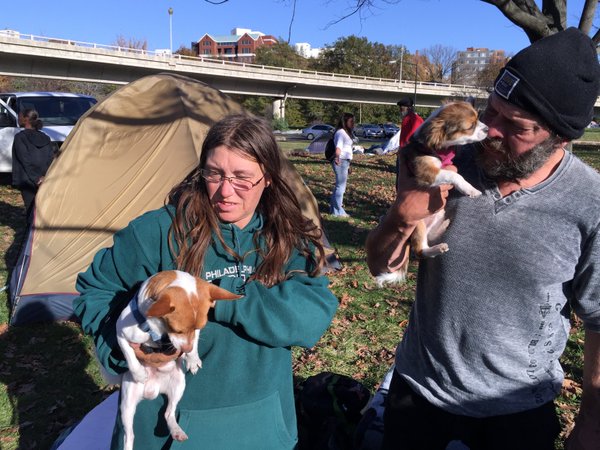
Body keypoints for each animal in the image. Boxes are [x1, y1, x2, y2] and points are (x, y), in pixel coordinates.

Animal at [109, 268, 240, 448]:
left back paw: (177, 431)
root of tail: (153, 390)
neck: (159, 331)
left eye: (199, 326)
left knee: (169, 413)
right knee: (129, 435)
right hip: (127, 405)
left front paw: (192, 358)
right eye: (177, 330)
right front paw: (139, 373)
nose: (185, 350)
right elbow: (129, 354)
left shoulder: (193, 337)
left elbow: (195, 341)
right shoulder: (120, 333)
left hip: (178, 385)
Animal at [378, 101, 490, 284]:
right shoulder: (427, 173)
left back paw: (443, 227)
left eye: (479, 118)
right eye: (470, 126)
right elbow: (454, 175)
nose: (487, 129)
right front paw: (471, 189)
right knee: (420, 251)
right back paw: (437, 248)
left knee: (431, 237)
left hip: (438, 215)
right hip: (418, 225)